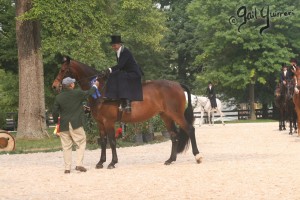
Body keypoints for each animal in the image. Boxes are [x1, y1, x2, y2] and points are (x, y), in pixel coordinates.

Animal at [52, 56, 202, 169]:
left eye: (63, 70)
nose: (54, 86)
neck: (100, 89)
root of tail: (177, 84)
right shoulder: (100, 123)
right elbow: (103, 141)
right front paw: (101, 162)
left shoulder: (109, 122)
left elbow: (112, 141)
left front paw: (112, 162)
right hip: (166, 116)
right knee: (173, 135)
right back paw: (170, 159)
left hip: (176, 115)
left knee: (190, 129)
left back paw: (197, 156)